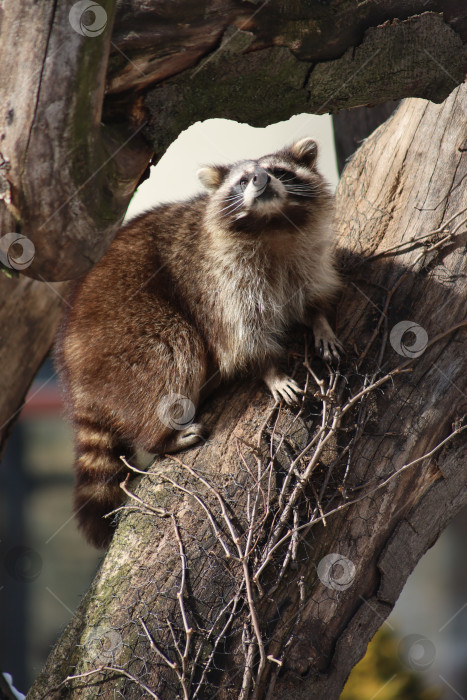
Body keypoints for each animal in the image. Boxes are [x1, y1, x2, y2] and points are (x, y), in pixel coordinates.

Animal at [54, 138, 342, 548]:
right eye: (242, 180)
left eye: (279, 171)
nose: (260, 179)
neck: (270, 225)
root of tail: (75, 372)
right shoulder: (217, 282)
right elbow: (241, 338)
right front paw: (270, 369)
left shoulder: (309, 255)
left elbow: (315, 292)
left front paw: (320, 322)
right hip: (122, 335)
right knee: (173, 350)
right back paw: (161, 436)